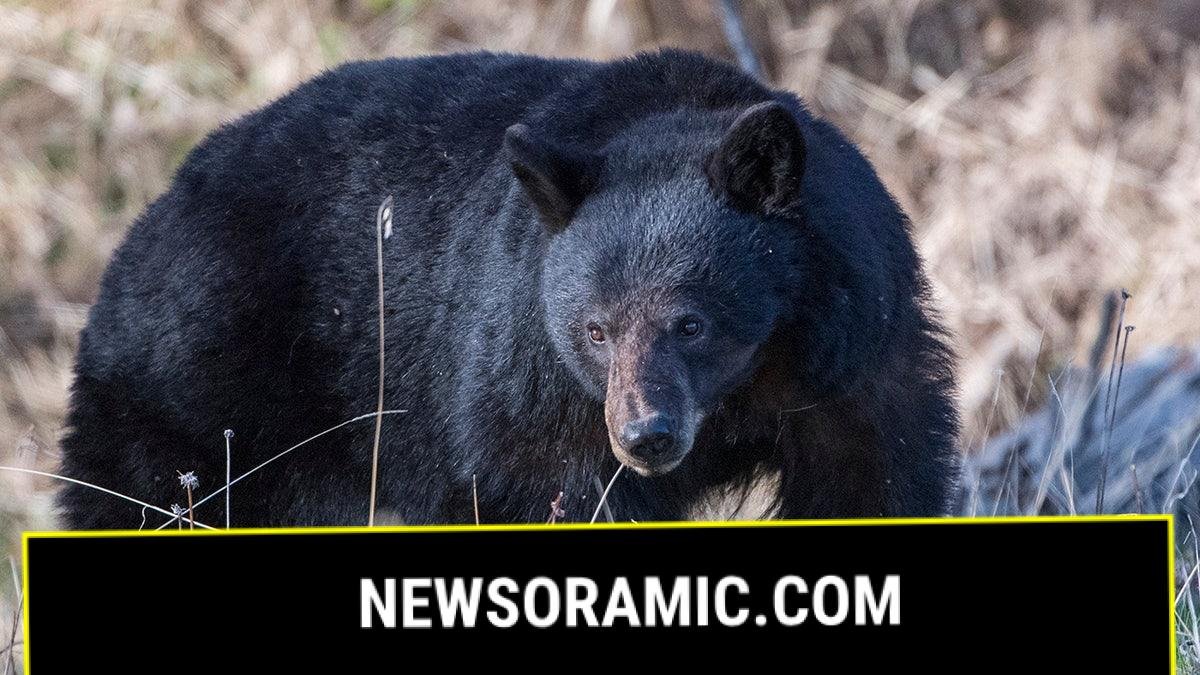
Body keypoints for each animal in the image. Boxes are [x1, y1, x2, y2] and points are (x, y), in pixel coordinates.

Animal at [58, 50, 959, 529]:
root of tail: (149, 218)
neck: (746, 389)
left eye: (690, 322)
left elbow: (874, 477)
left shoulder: (855, 355)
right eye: (594, 329)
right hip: (197, 388)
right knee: (140, 498)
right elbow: (550, 489)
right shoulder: (533, 385)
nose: (647, 436)